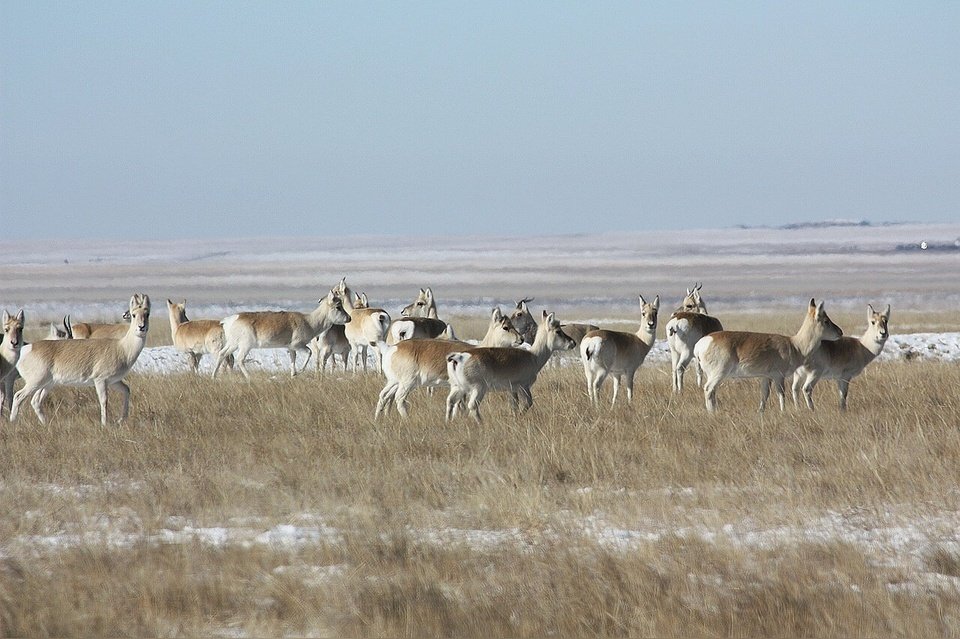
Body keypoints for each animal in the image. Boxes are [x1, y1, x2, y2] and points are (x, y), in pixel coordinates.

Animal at [10, 296, 150, 428]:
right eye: (133, 314)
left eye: (147, 313)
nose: (141, 327)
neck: (121, 347)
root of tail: (27, 348)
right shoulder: (100, 381)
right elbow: (104, 400)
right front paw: (104, 425)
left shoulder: (114, 381)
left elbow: (127, 390)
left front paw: (120, 420)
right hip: (35, 383)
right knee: (18, 396)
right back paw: (12, 423)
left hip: (47, 384)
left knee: (36, 401)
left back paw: (47, 424)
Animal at [212, 292, 350, 380]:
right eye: (338, 306)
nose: (349, 318)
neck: (309, 321)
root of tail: (229, 320)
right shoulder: (298, 345)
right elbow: (309, 353)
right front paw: (299, 371)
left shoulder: (291, 349)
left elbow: (293, 360)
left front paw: (293, 374)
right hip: (245, 346)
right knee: (240, 359)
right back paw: (249, 377)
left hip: (232, 345)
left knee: (222, 354)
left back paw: (214, 376)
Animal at [376, 306, 524, 420]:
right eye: (505, 327)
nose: (521, 339)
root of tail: (392, 348)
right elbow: (460, 404)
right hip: (407, 383)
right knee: (399, 399)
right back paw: (407, 419)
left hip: (394, 382)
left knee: (384, 396)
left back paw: (379, 419)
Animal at [444, 312, 572, 424]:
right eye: (558, 331)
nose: (573, 343)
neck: (534, 356)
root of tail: (459, 357)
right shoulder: (523, 387)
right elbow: (528, 403)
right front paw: (520, 415)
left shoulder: (512, 390)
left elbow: (514, 405)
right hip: (478, 389)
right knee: (472, 406)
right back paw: (481, 423)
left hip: (458, 388)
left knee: (450, 401)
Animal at [692, 300, 844, 416]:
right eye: (826, 320)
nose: (840, 332)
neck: (794, 344)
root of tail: (701, 344)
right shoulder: (778, 376)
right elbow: (781, 394)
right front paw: (783, 412)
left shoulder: (765, 377)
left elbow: (764, 395)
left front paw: (760, 412)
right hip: (718, 374)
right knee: (708, 389)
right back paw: (712, 412)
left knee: (712, 391)